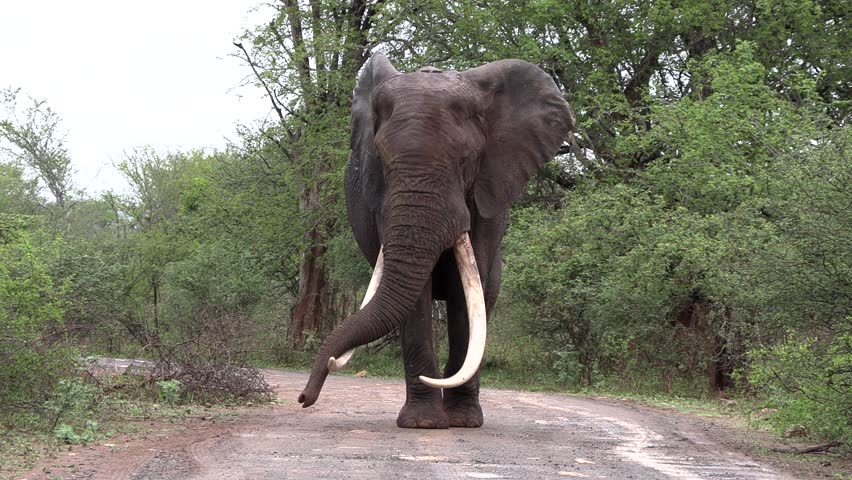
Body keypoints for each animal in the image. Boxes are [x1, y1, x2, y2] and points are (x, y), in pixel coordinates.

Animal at [298, 53, 572, 429]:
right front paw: (423, 423)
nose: (303, 398)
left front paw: (463, 422)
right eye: (380, 161)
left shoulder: (487, 196)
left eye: (465, 160)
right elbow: (416, 298)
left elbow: (464, 290)